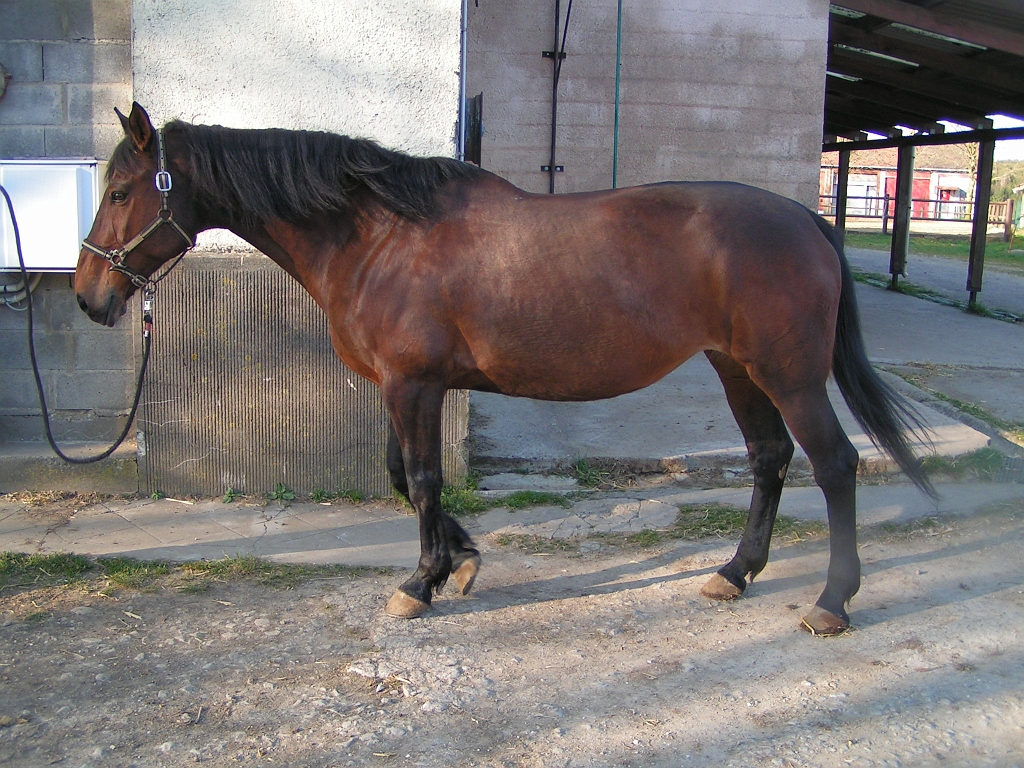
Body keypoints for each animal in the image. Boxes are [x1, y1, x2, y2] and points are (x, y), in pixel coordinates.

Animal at [75, 103, 933, 636]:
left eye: (119, 190)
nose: (90, 297)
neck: (378, 235)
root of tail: (807, 220)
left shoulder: (414, 386)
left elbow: (422, 480)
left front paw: (420, 583)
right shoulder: (402, 388)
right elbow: (401, 476)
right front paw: (461, 562)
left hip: (787, 374)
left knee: (834, 465)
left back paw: (832, 600)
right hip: (736, 369)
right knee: (768, 459)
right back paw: (735, 572)